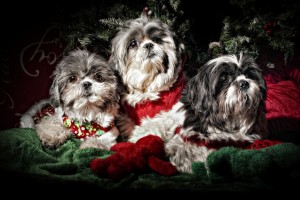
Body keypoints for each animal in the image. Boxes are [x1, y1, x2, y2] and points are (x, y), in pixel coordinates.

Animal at [109, 10, 186, 138]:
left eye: (157, 39)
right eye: (133, 43)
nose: (149, 44)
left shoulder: (176, 109)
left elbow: (159, 121)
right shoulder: (126, 117)